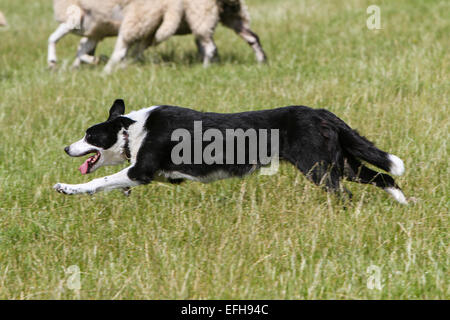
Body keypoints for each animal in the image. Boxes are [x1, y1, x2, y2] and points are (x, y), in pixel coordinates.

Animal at [48, 0, 268, 72]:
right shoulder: (95, 29)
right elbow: (82, 49)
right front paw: (84, 63)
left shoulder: (77, 19)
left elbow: (54, 38)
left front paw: (53, 63)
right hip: (231, 14)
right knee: (252, 37)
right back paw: (261, 61)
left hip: (198, 15)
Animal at [53, 99, 408, 204]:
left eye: (89, 135)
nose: (67, 148)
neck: (133, 130)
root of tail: (321, 113)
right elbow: (113, 183)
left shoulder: (140, 171)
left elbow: (97, 181)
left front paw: (67, 188)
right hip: (342, 163)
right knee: (384, 178)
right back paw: (405, 206)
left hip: (319, 169)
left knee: (346, 194)